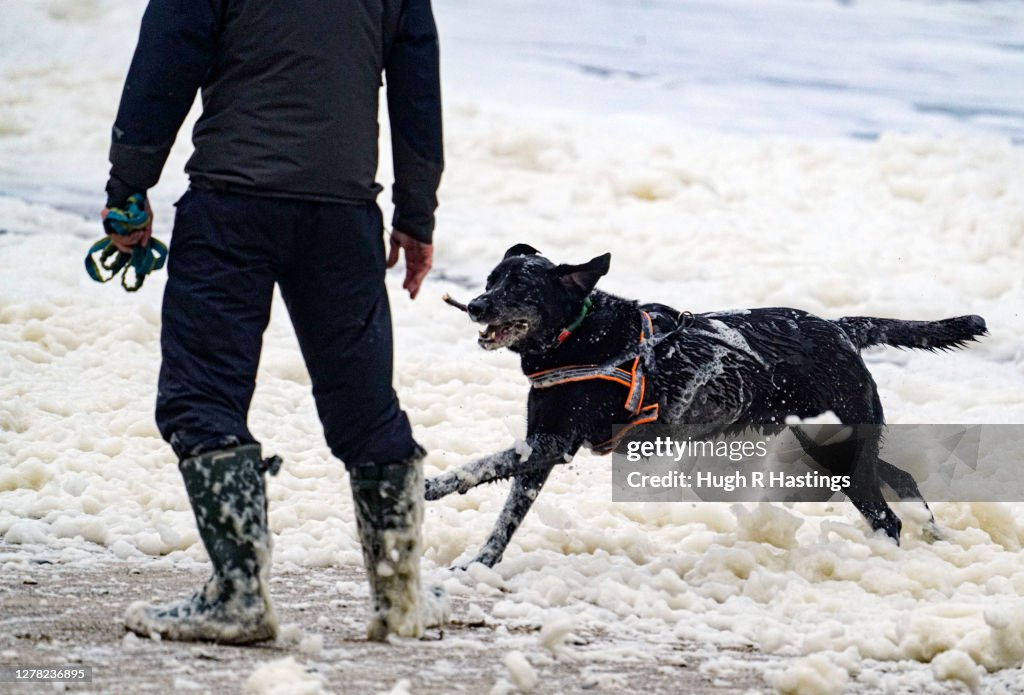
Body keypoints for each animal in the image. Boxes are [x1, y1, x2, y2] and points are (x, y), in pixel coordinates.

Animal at [423, 247, 983, 569]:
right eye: (492, 279)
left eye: (519, 286)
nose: (476, 306)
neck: (582, 335)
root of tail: (842, 329)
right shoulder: (541, 448)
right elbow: (507, 516)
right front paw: (479, 565)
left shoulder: (551, 443)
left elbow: (479, 467)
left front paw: (431, 486)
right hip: (837, 446)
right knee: (901, 478)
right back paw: (931, 530)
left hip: (839, 451)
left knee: (886, 517)